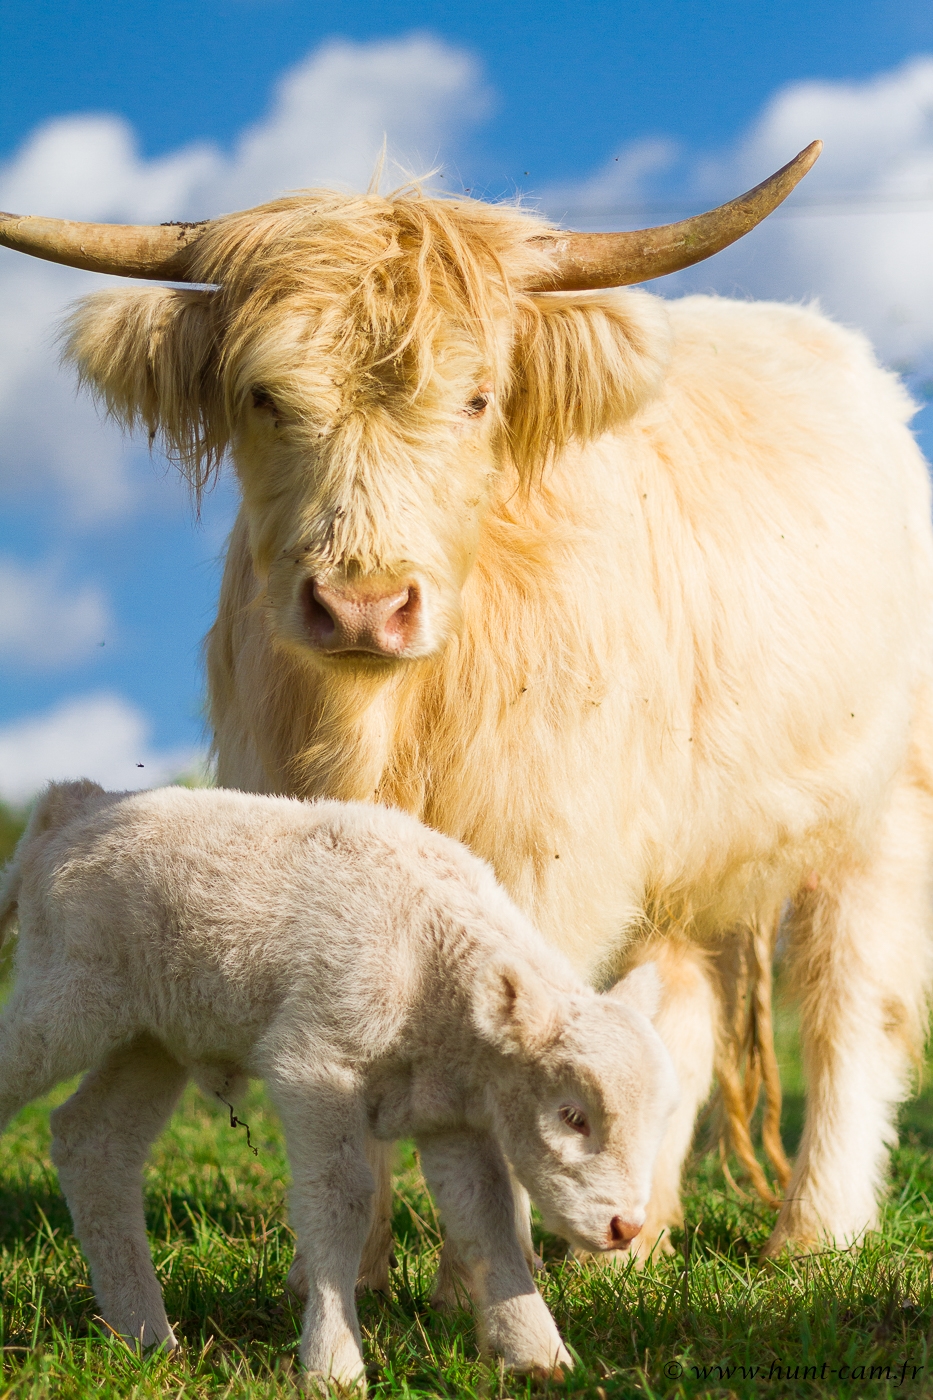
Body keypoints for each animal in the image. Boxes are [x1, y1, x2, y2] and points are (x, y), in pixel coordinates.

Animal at [3, 137, 933, 1271]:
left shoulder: (546, 848)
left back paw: (815, 1232)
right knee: (676, 1005)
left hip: (879, 810)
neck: (386, 722)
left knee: (852, 1000)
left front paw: (479, 1270)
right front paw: (357, 1262)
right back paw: (634, 1239)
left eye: (479, 399)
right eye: (264, 396)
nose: (362, 604)